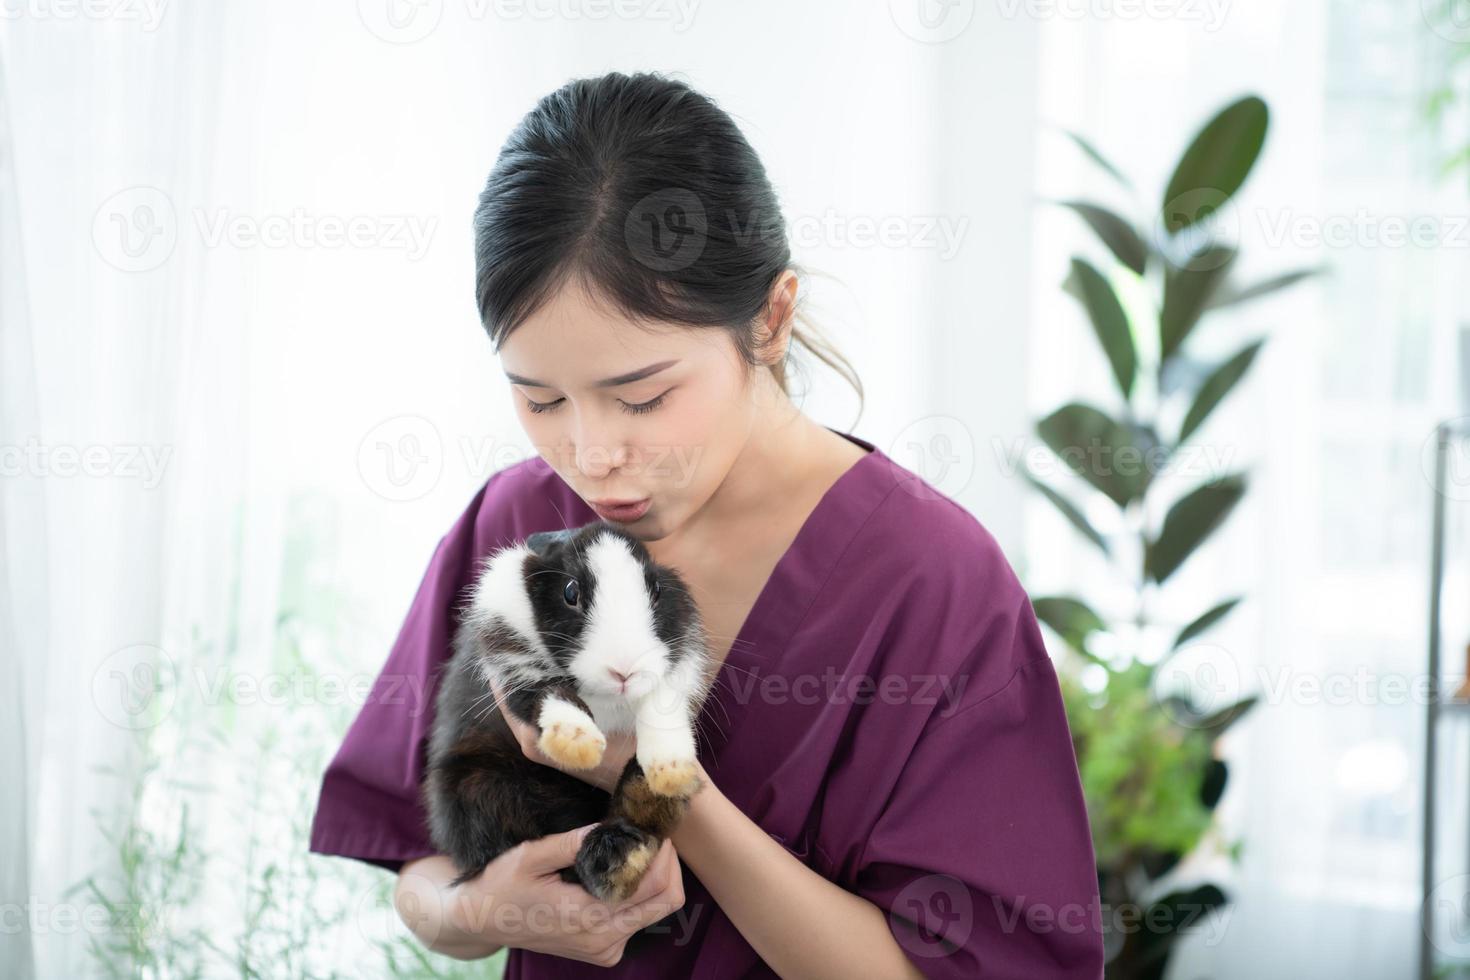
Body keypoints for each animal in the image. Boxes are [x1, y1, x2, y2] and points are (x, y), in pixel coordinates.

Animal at [422, 520, 714, 902]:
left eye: (656, 591)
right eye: (571, 591)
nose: (624, 671)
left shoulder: (674, 673)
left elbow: (660, 708)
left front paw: (671, 771)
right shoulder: (514, 664)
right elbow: (551, 694)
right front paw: (576, 743)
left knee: (642, 812)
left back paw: (617, 857)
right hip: (474, 788)